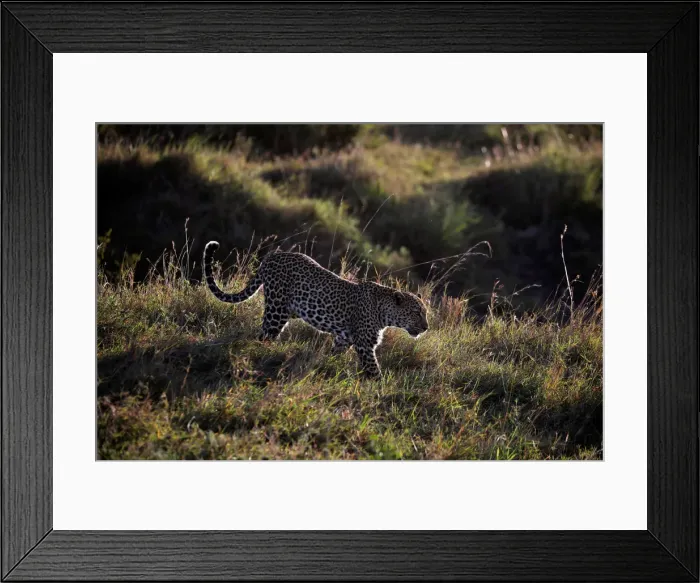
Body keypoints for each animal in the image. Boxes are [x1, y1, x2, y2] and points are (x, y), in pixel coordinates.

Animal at [203, 241, 429, 377]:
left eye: (424, 314)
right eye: (416, 313)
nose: (426, 327)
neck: (384, 313)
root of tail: (271, 257)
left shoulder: (343, 338)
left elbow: (333, 354)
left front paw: (326, 365)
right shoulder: (365, 344)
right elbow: (373, 370)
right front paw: (379, 389)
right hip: (276, 310)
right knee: (264, 335)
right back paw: (263, 354)